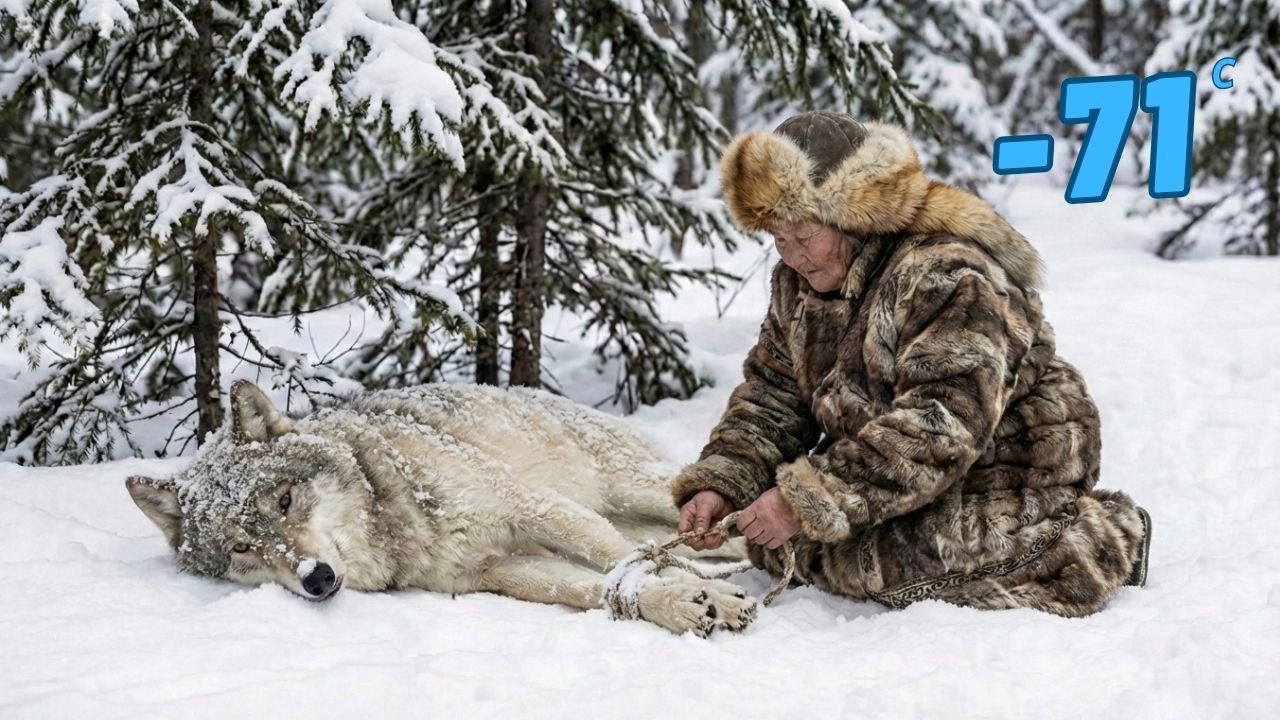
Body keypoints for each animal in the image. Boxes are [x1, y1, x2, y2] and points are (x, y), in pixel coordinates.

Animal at [127, 380, 757, 636]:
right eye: (242, 547)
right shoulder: (501, 571)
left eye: (284, 501)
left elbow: (635, 563)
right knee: (710, 543)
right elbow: (599, 587)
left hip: (634, 490)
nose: (316, 579)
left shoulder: (536, 508)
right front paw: (679, 605)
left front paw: (713, 599)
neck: (397, 515)